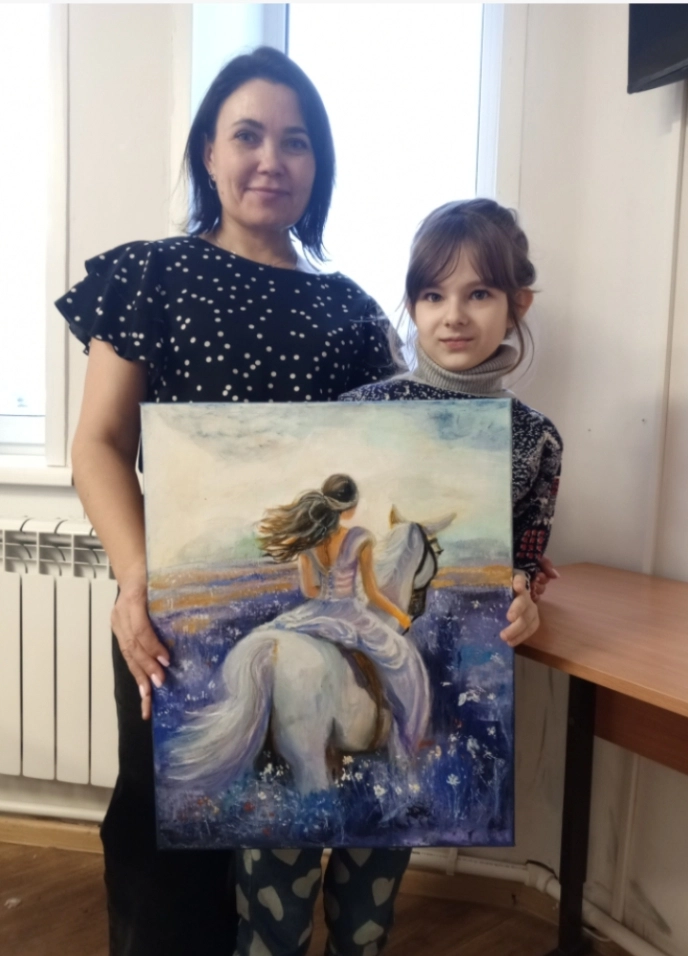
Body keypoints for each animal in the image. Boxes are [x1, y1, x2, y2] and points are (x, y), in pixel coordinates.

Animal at [165, 509, 455, 795]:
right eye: (439, 551)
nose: (415, 611)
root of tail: (270, 650)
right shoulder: (398, 749)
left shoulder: (335, 754)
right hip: (309, 758)